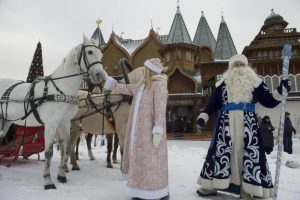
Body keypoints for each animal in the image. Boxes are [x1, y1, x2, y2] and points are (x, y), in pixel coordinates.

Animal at [0, 35, 106, 190]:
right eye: (90, 52)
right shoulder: (51, 124)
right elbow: (49, 152)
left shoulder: (64, 123)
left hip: (7, 121)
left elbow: (67, 147)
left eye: (101, 55)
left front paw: (62, 175)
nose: (101, 75)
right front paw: (48, 181)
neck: (62, 88)